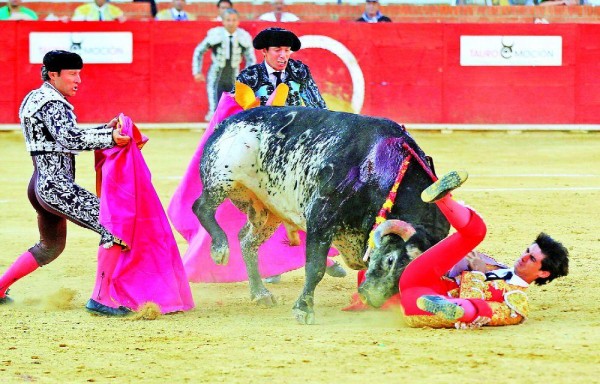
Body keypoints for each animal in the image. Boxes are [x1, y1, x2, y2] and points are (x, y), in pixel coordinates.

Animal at [196, 106, 450, 324]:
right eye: (390, 260)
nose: (371, 297)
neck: (382, 166)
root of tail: (227, 122)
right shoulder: (321, 216)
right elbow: (315, 267)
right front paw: (303, 309)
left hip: (267, 212)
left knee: (247, 241)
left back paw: (261, 294)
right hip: (222, 178)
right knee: (201, 207)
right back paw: (220, 249)